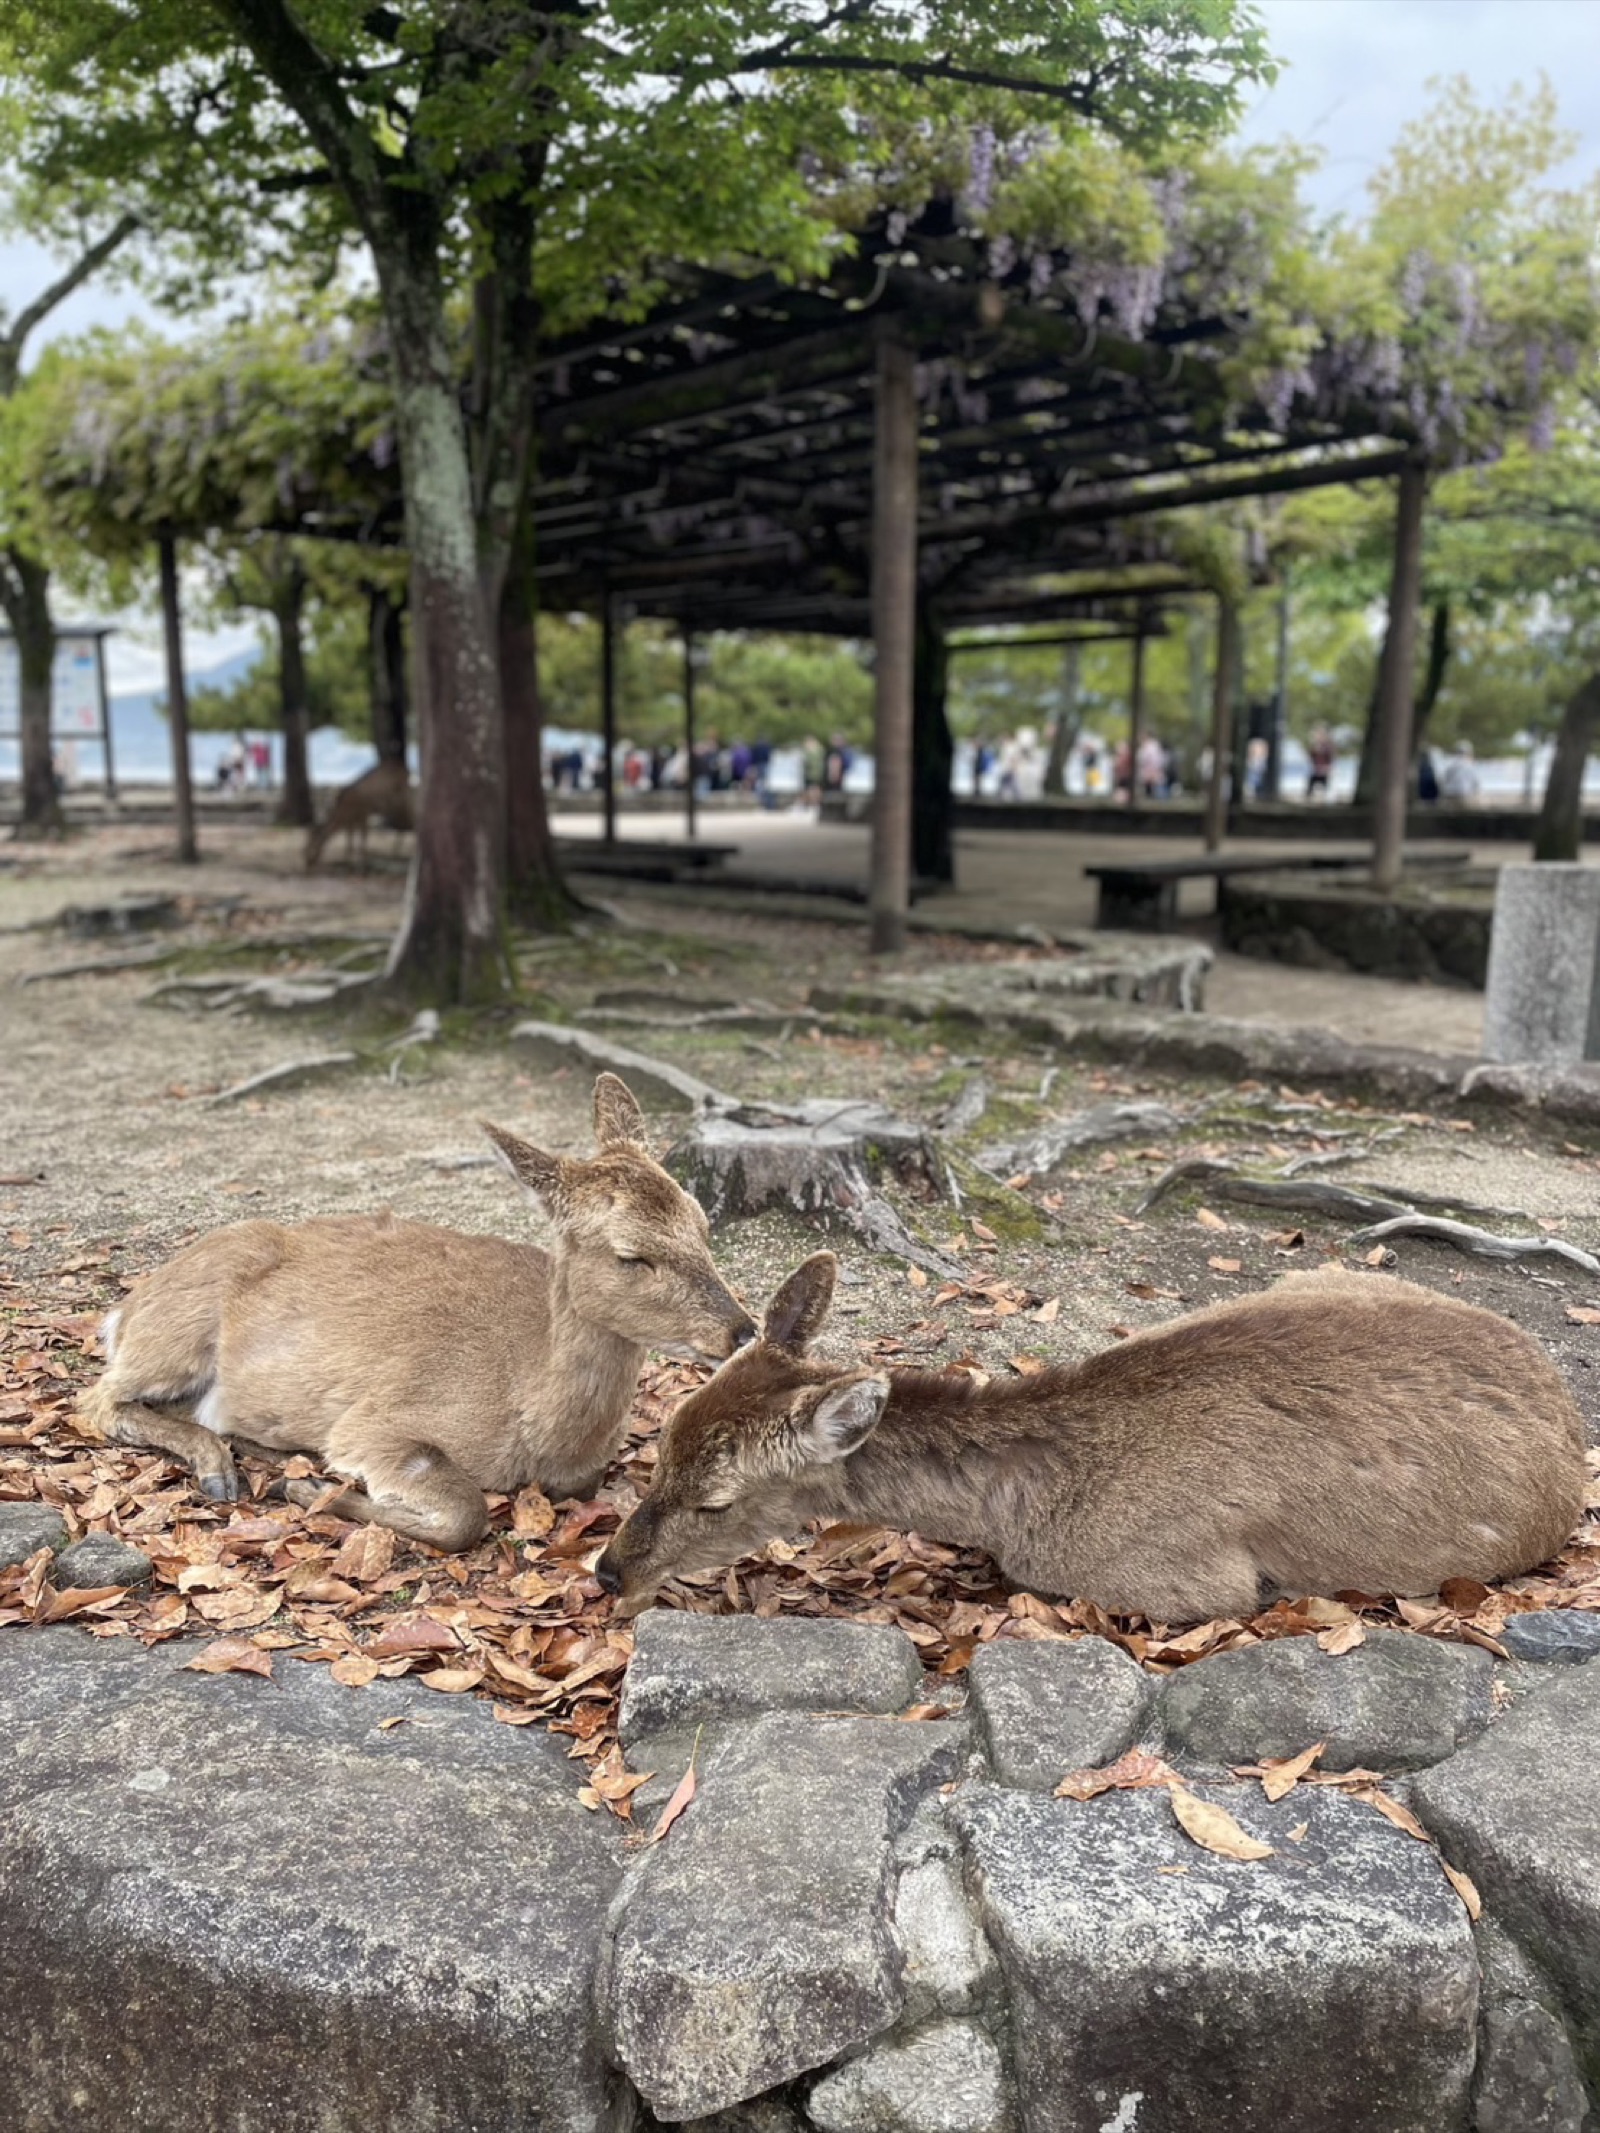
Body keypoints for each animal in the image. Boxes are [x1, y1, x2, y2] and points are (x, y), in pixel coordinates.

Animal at [83, 1075, 756, 1550]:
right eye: (631, 1255)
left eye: (703, 1224)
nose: (743, 1330)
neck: (534, 1424)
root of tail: (127, 1309)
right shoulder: (374, 1423)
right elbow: (466, 1512)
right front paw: (310, 1486)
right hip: (176, 1330)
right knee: (97, 1400)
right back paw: (224, 1470)